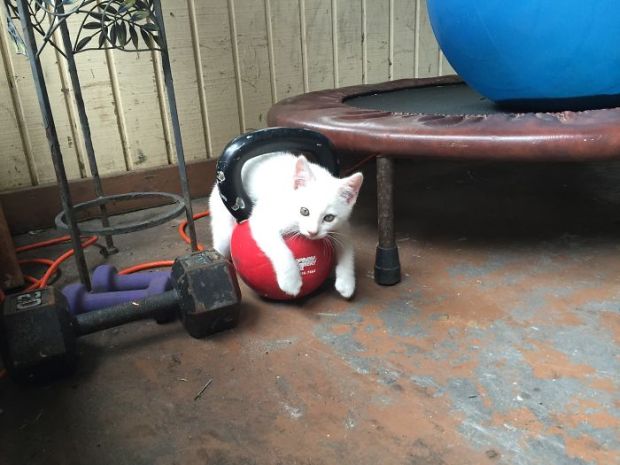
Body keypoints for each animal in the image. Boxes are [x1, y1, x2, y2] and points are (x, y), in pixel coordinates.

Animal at [208, 150, 364, 300]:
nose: (312, 232)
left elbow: (347, 248)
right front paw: (291, 282)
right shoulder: (262, 219)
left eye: (329, 218)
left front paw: (347, 282)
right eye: (304, 211)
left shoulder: (342, 225)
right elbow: (281, 249)